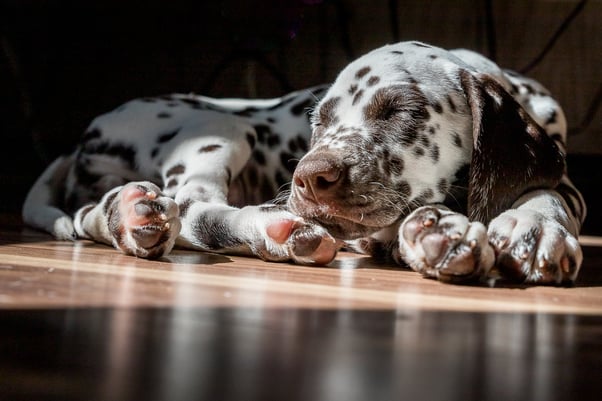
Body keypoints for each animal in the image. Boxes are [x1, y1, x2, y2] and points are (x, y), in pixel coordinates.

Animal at [288, 40, 584, 284]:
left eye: (400, 111)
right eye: (319, 122)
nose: (310, 177)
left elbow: (548, 193)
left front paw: (536, 224)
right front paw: (441, 226)